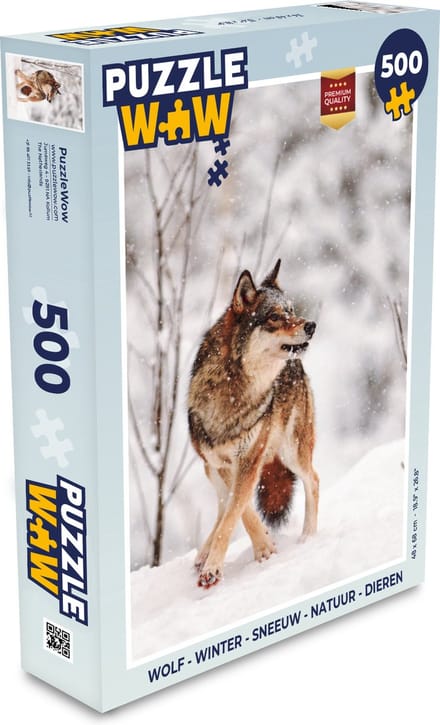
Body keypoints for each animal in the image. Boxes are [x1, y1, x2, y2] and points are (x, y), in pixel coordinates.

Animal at [188, 259, 319, 588]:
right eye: (274, 316)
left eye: (291, 310)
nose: (311, 325)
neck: (235, 388)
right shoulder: (222, 463)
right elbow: (239, 510)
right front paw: (263, 547)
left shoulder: (249, 458)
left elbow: (237, 510)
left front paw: (217, 567)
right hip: (209, 467)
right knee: (222, 504)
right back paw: (202, 553)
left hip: (292, 452)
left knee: (314, 480)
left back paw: (308, 537)